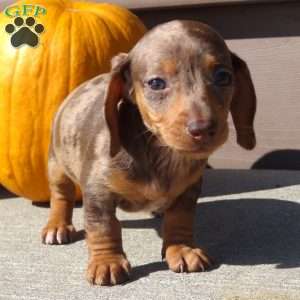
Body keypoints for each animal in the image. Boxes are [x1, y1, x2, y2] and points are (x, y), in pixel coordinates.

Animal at [42, 20, 256, 286]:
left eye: (223, 76)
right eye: (156, 83)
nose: (203, 129)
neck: (162, 155)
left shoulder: (187, 190)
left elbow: (180, 219)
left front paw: (181, 249)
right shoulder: (98, 192)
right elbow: (103, 226)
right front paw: (107, 261)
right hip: (56, 165)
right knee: (61, 196)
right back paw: (57, 226)